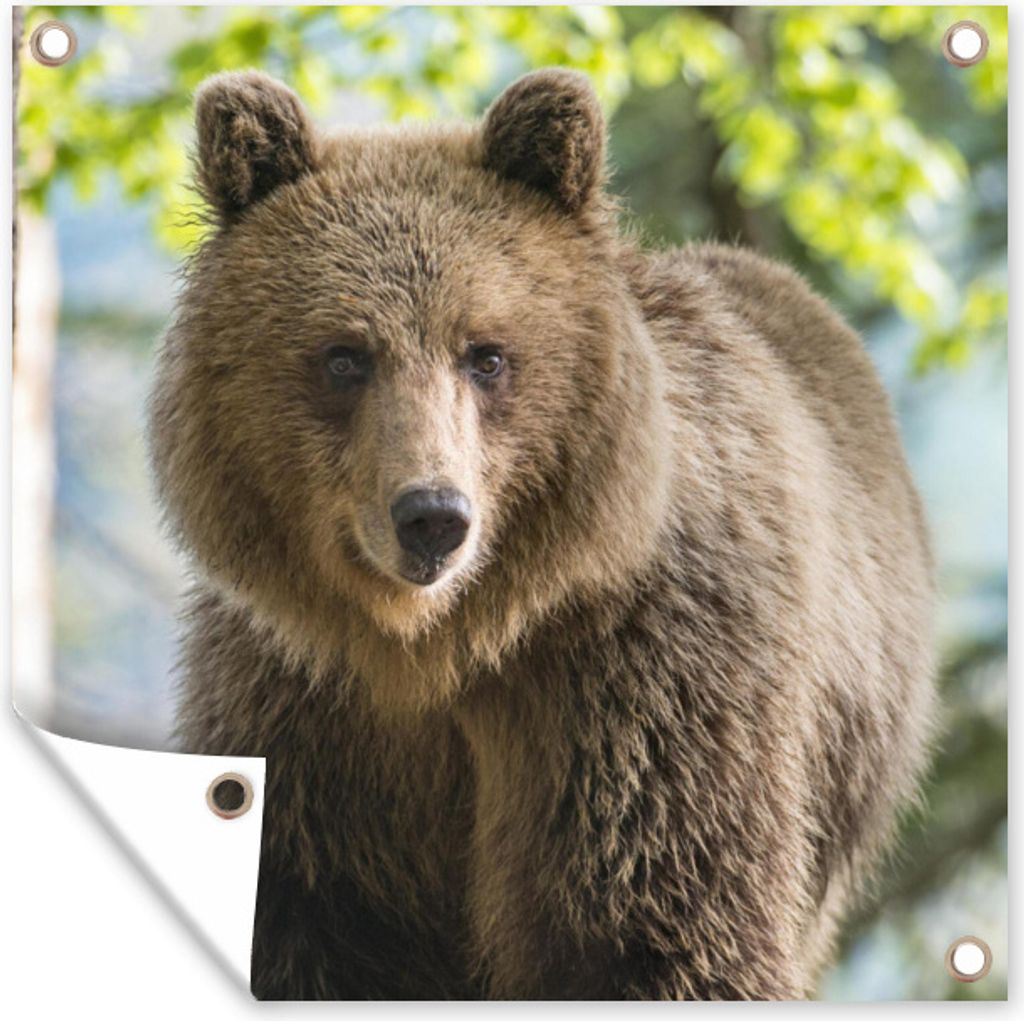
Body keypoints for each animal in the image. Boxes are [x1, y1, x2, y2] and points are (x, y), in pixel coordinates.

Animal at [147, 67, 937, 1000]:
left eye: (486, 353)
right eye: (344, 355)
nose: (432, 516)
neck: (442, 645)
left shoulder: (641, 681)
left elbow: (651, 928)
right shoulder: (303, 715)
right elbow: (312, 926)